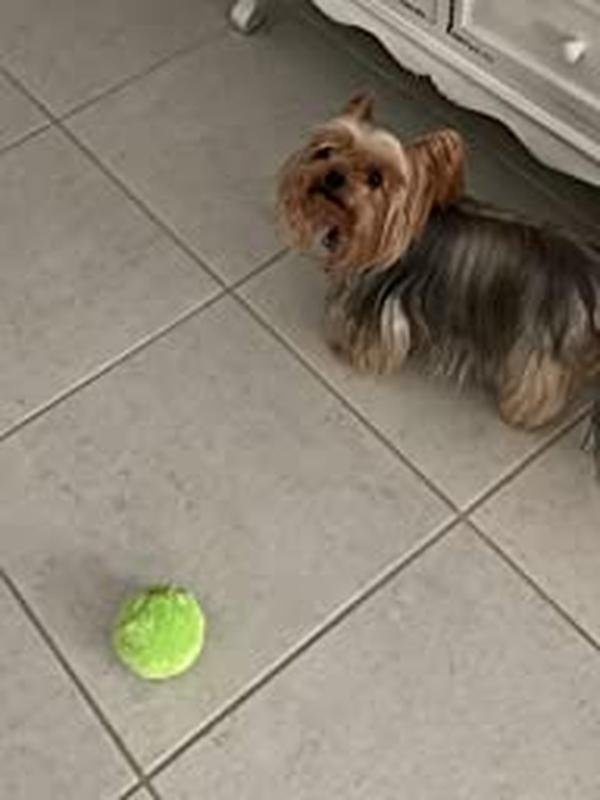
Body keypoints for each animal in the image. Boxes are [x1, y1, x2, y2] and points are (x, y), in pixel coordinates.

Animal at [278, 94, 600, 468]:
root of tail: (589, 268)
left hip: (544, 337)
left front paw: (349, 350)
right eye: (326, 151)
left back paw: (519, 414)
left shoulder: (382, 302)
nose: (332, 176)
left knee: (541, 380)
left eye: (375, 178)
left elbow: (373, 338)